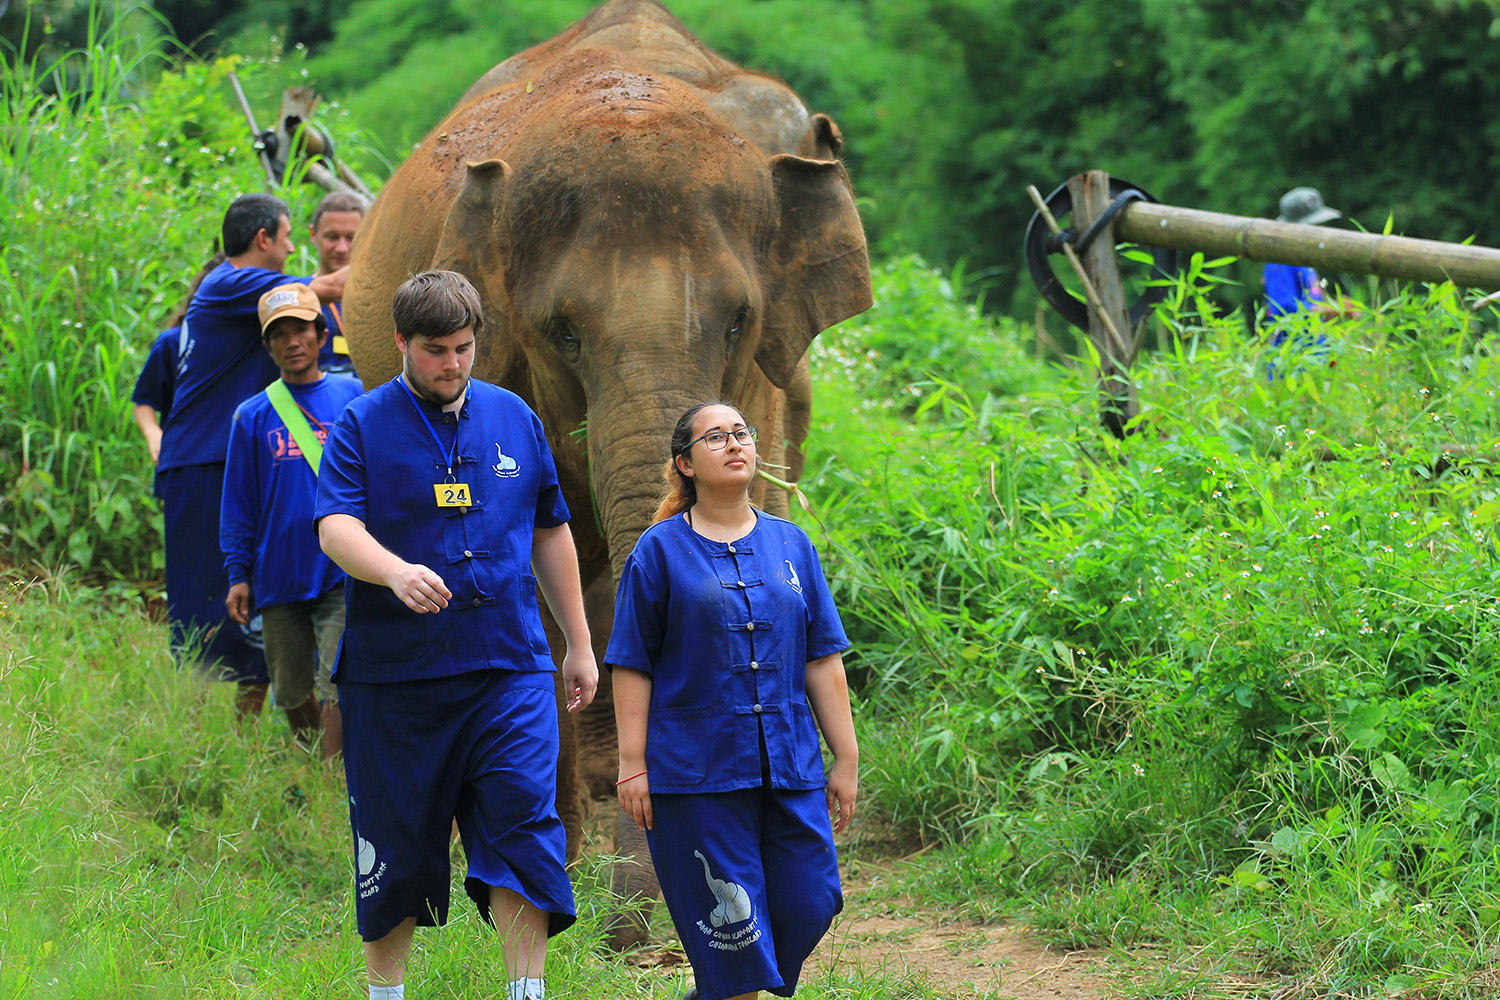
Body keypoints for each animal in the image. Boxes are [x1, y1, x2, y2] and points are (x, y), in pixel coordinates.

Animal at [342, 0, 871, 949]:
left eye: (737, 322)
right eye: (564, 330)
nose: (627, 933)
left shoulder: (769, 383)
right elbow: (534, 566)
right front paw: (545, 876)